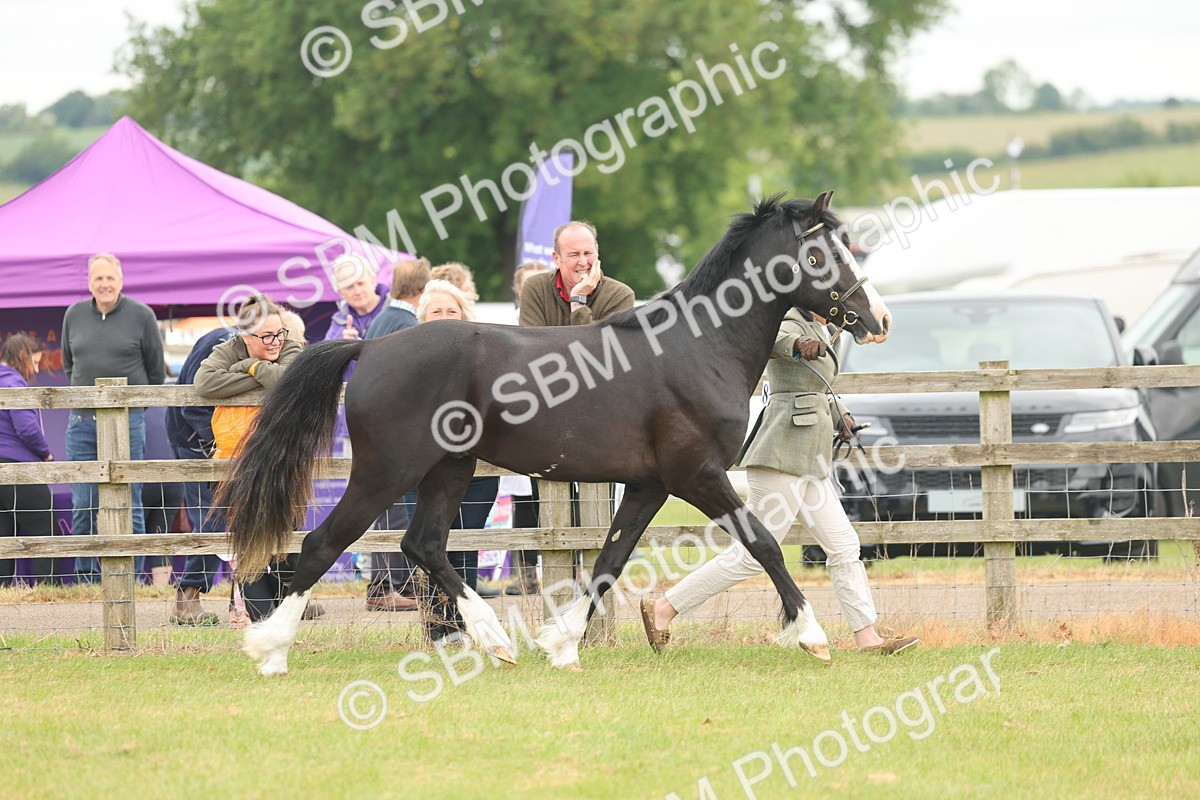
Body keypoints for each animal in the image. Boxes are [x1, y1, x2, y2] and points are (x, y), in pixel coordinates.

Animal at [218, 191, 891, 675]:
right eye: (819, 256)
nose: (878, 319)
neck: (700, 347)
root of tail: (372, 346)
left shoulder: (648, 485)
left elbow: (611, 560)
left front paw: (563, 644)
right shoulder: (696, 476)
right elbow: (765, 545)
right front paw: (812, 636)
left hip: (450, 469)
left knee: (424, 545)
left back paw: (497, 642)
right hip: (389, 470)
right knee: (322, 544)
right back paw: (271, 652)